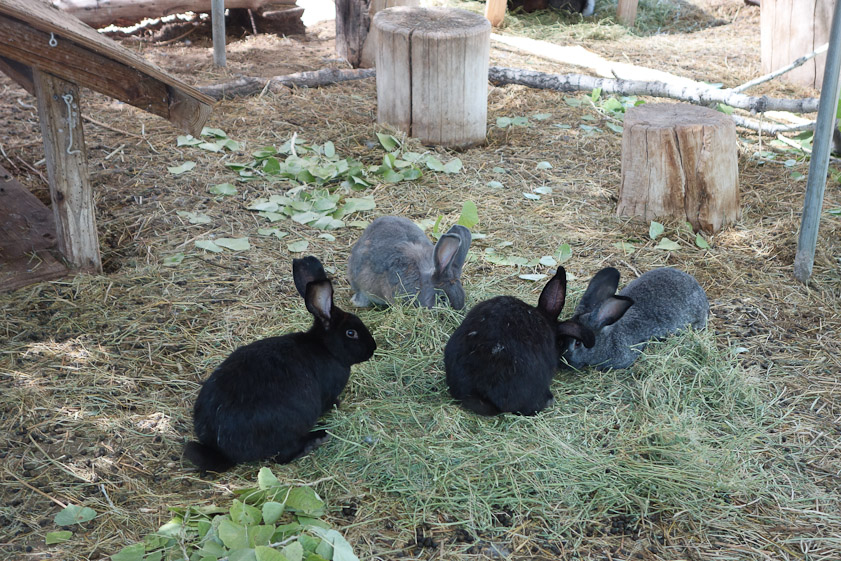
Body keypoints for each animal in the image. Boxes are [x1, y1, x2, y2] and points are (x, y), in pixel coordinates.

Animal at [183, 256, 377, 472]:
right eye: (351, 333)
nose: (373, 348)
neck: (326, 348)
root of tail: (221, 450)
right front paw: (337, 404)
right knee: (282, 455)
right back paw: (317, 439)